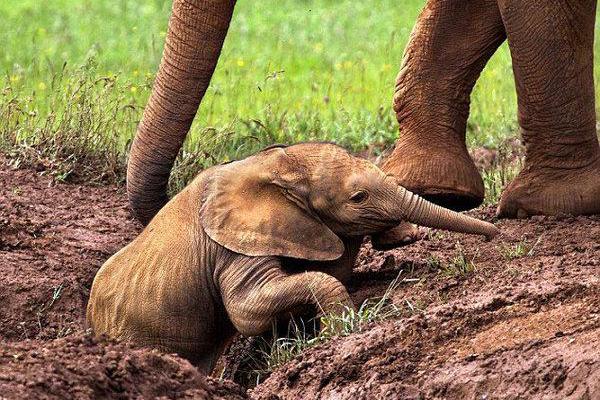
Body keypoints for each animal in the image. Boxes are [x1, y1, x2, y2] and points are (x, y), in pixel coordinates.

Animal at [85, 142, 496, 370]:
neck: (275, 165)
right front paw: (340, 329)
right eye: (358, 198)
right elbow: (246, 311)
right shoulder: (235, 245)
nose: (497, 233)